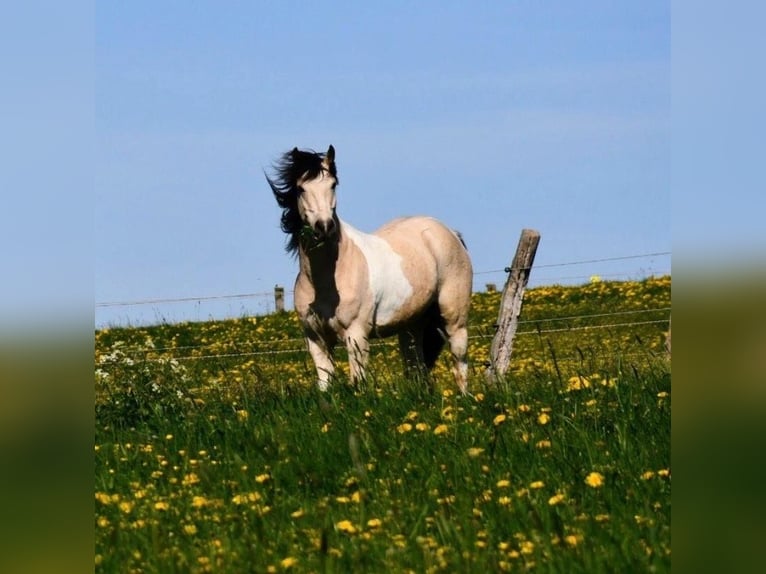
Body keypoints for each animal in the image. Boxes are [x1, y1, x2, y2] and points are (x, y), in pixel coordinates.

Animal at [266, 145, 473, 393]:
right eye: (300, 188)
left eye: (332, 184)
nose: (324, 227)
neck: (326, 280)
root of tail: (449, 232)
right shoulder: (316, 339)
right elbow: (325, 383)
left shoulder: (356, 335)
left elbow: (358, 383)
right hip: (411, 325)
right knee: (416, 365)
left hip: (453, 316)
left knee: (459, 360)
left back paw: (464, 397)